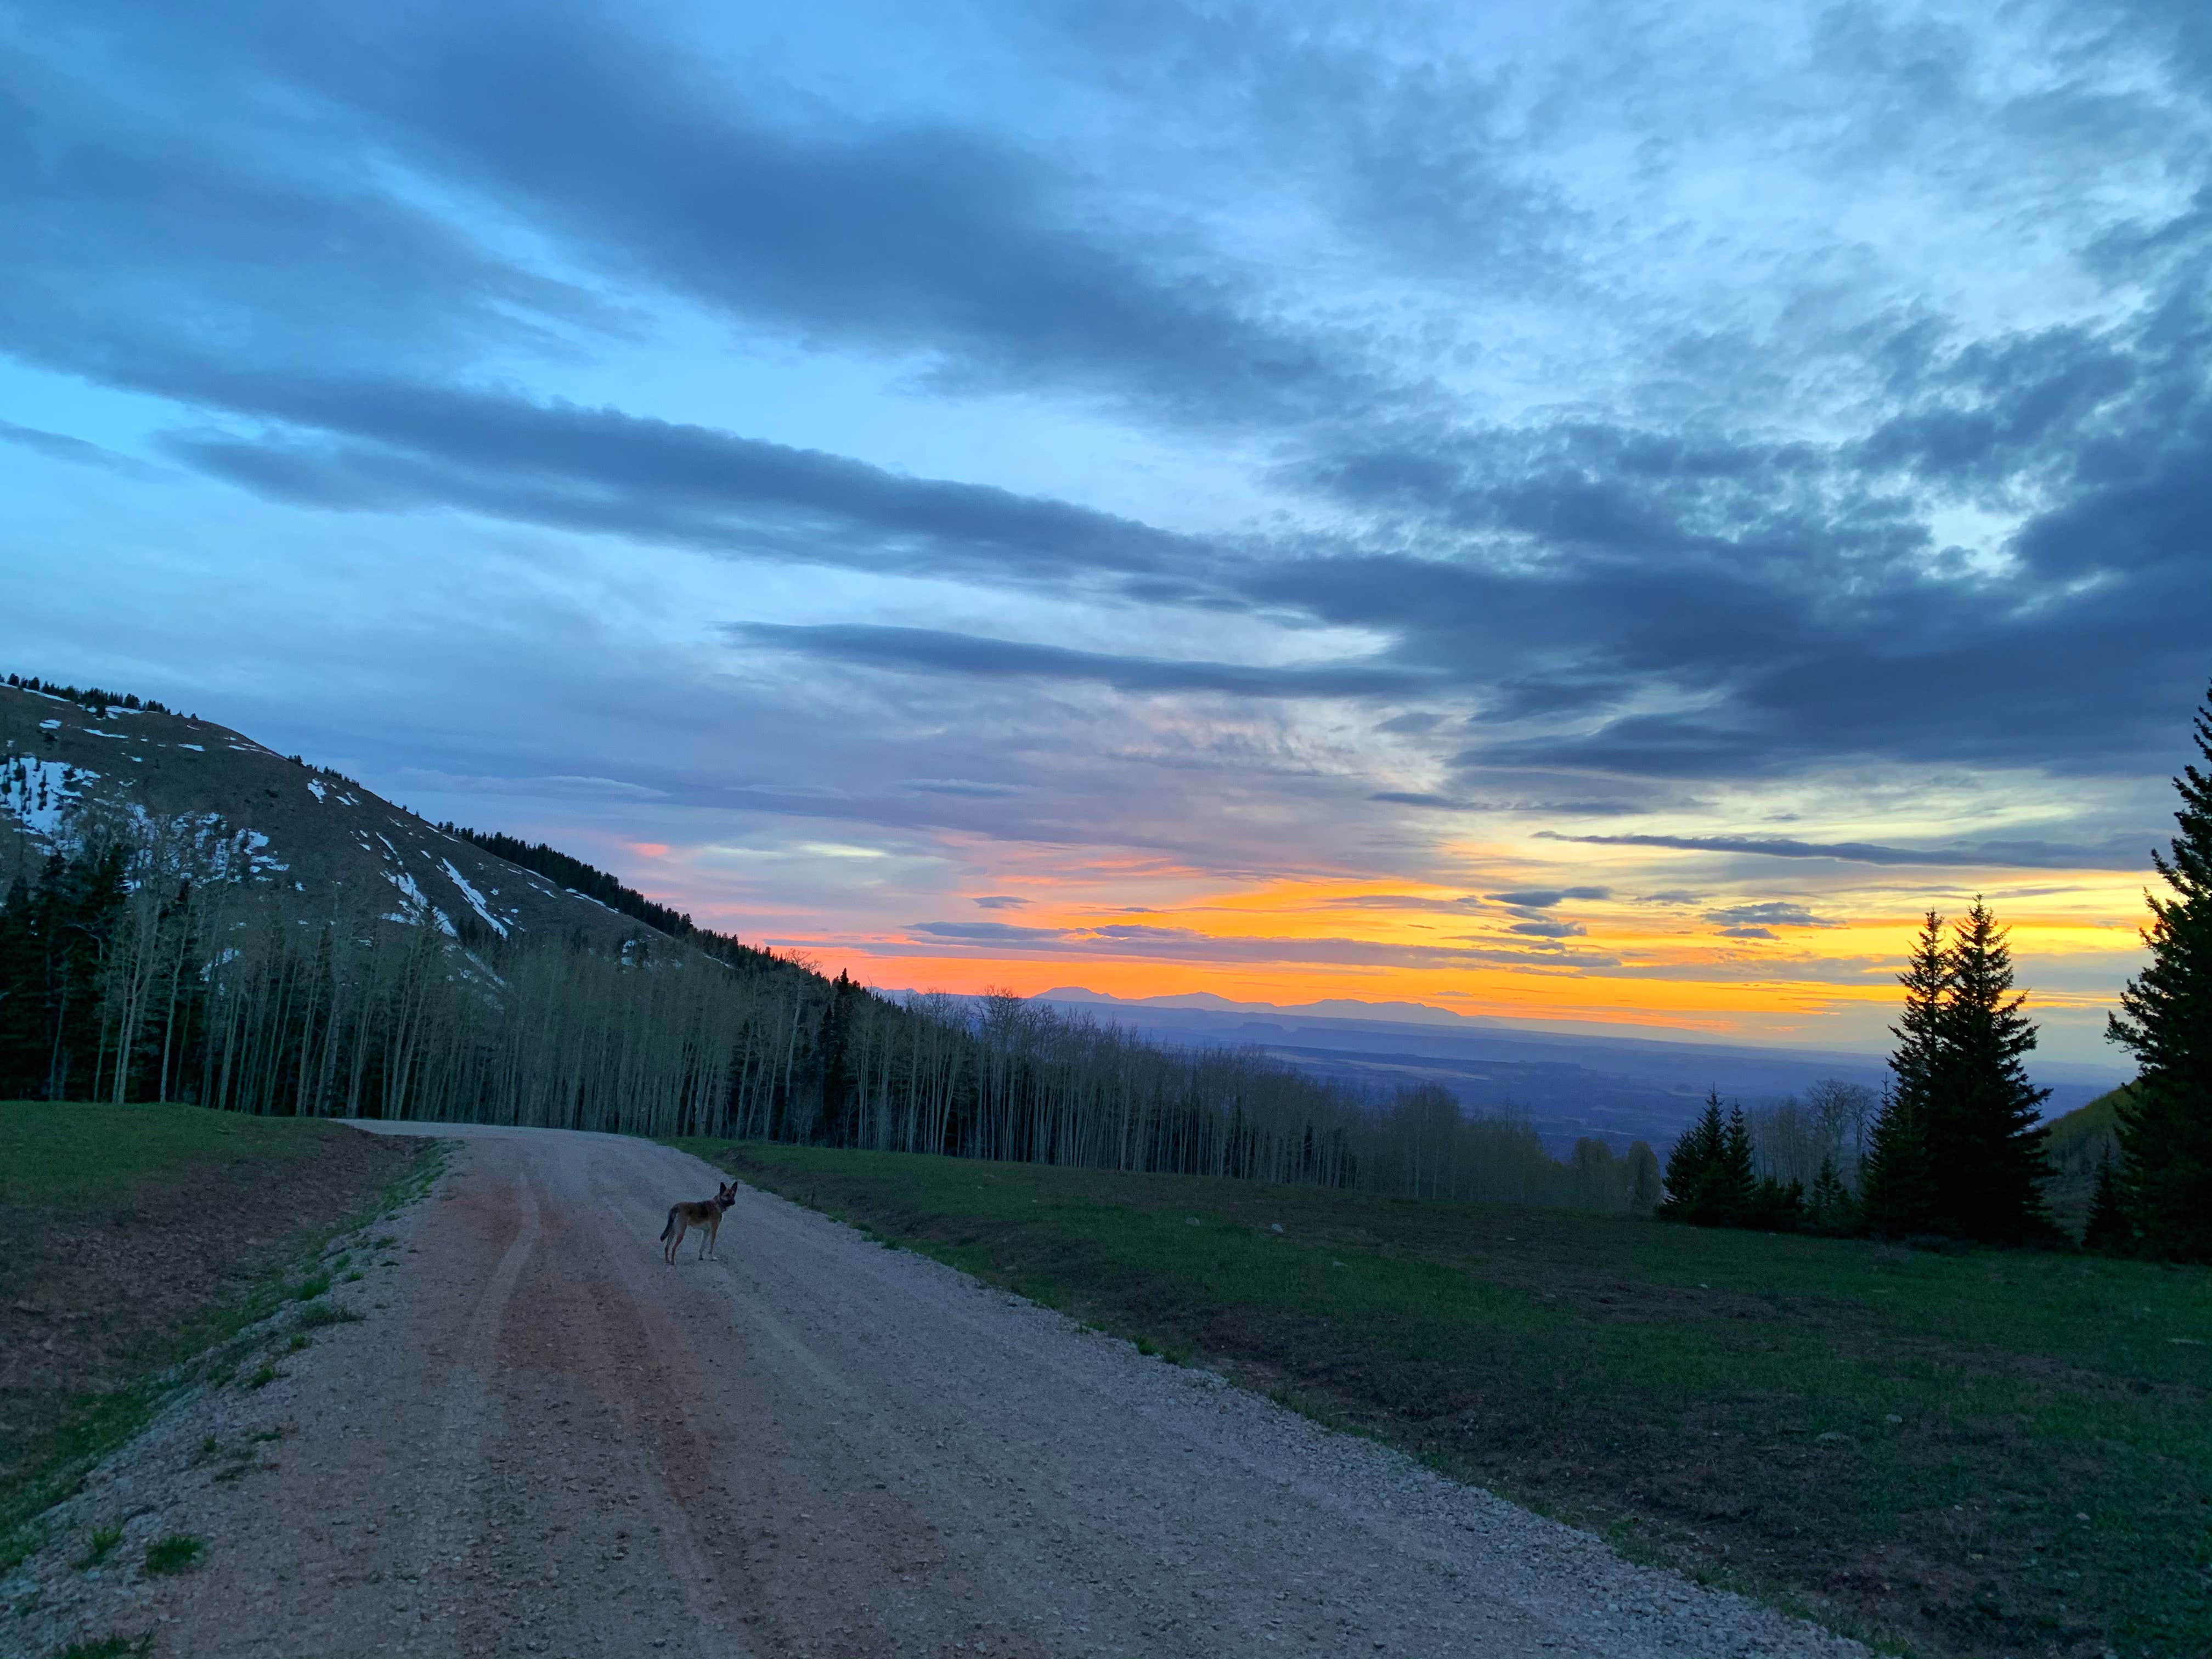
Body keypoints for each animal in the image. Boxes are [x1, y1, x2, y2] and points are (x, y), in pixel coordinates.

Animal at [659, 1177, 738, 1265]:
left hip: (673, 1232)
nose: (734, 1202)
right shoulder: (713, 1231)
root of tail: (676, 1207)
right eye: (727, 1195)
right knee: (673, 1248)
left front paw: (701, 1257)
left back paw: (668, 1260)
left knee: (667, 1247)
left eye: (733, 1195)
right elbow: (711, 1247)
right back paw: (673, 1262)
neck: (718, 1204)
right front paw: (712, 1258)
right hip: (681, 1233)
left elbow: (702, 1246)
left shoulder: (706, 1232)